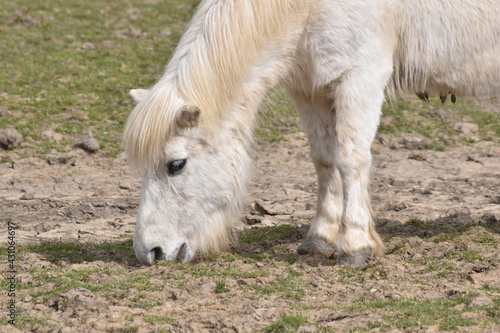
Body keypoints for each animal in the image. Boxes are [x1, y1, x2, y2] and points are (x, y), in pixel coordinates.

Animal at [124, 0, 500, 266]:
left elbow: (350, 159)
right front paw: (321, 238)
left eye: (176, 164)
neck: (304, 8)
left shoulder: (360, 77)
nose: (150, 252)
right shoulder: (310, 89)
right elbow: (324, 159)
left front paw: (356, 246)